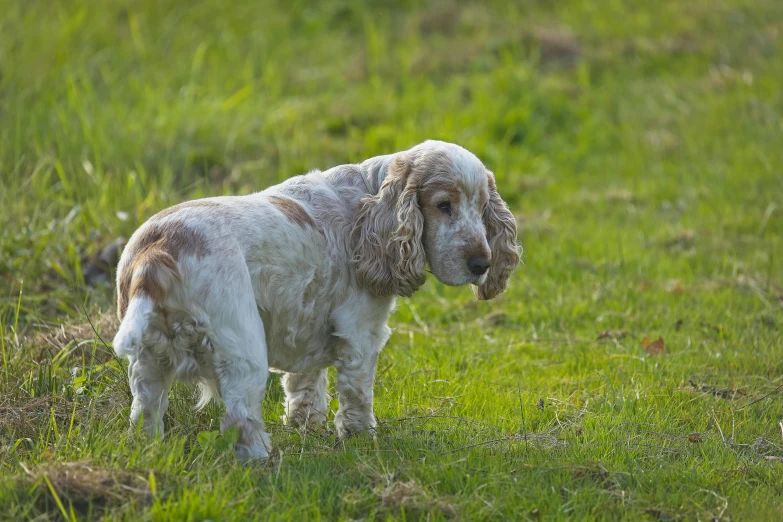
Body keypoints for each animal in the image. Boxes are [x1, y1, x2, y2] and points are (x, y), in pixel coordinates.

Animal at [112, 139, 520, 460]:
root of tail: (158, 252)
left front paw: (306, 428)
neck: (370, 202)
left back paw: (149, 450)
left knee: (144, 411)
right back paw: (265, 462)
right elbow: (358, 395)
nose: (481, 264)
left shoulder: (304, 321)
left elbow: (304, 385)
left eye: (482, 206)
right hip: (242, 352)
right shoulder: (361, 332)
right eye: (443, 205)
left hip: (148, 361)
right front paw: (362, 440)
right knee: (241, 419)